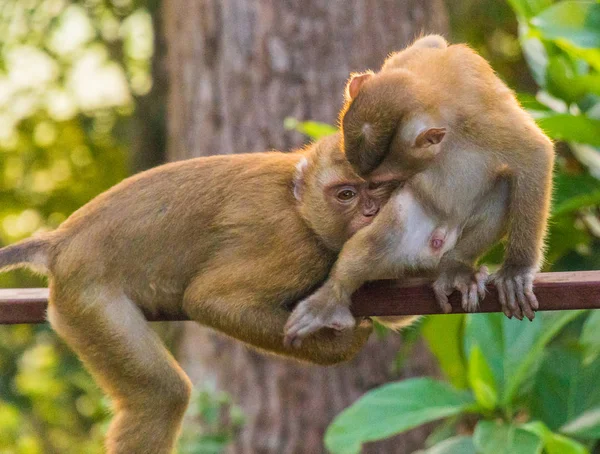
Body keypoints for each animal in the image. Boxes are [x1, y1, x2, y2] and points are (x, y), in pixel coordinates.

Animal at [0, 134, 454, 454]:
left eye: (380, 189)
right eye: (346, 194)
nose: (372, 213)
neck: (300, 204)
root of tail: (62, 241)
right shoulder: (293, 246)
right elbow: (209, 300)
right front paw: (341, 344)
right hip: (87, 298)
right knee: (161, 396)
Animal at [286, 34, 552, 348]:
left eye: (381, 183)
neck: (435, 91)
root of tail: (434, 248)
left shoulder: (484, 120)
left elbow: (534, 154)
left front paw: (516, 270)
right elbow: (431, 42)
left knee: (505, 187)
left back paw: (457, 267)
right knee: (382, 238)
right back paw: (332, 297)